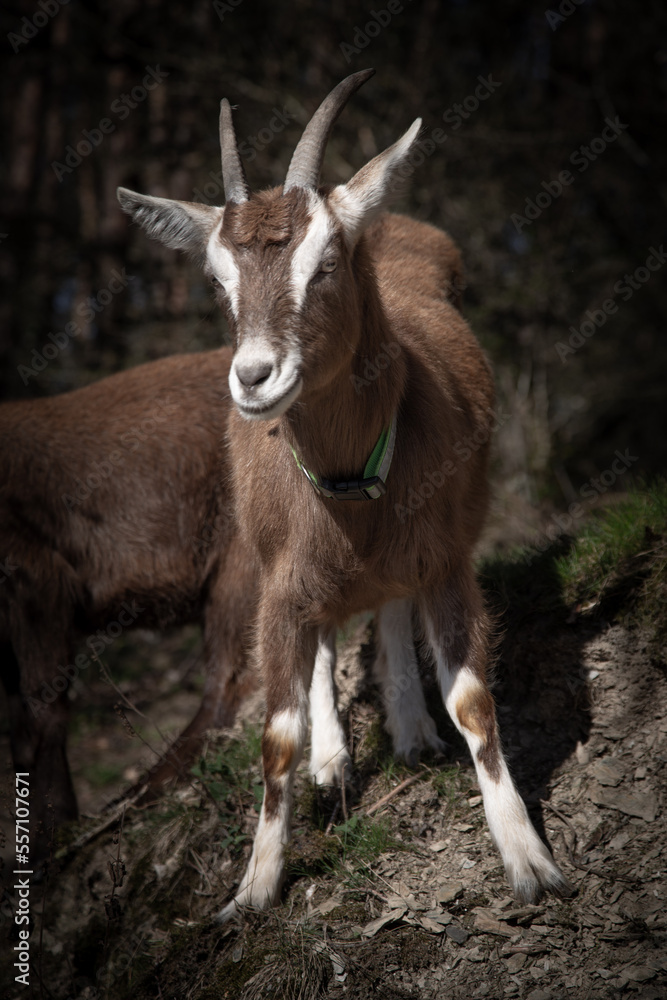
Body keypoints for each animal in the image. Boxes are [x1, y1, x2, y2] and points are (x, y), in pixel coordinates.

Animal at [118, 68, 568, 916]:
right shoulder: (276, 585)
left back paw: (409, 726)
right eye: (218, 281)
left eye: (324, 262)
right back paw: (334, 755)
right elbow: (276, 735)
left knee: (386, 602)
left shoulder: (447, 559)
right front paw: (254, 888)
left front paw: (528, 859)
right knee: (331, 630)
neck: (351, 487)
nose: (254, 378)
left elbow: (472, 701)